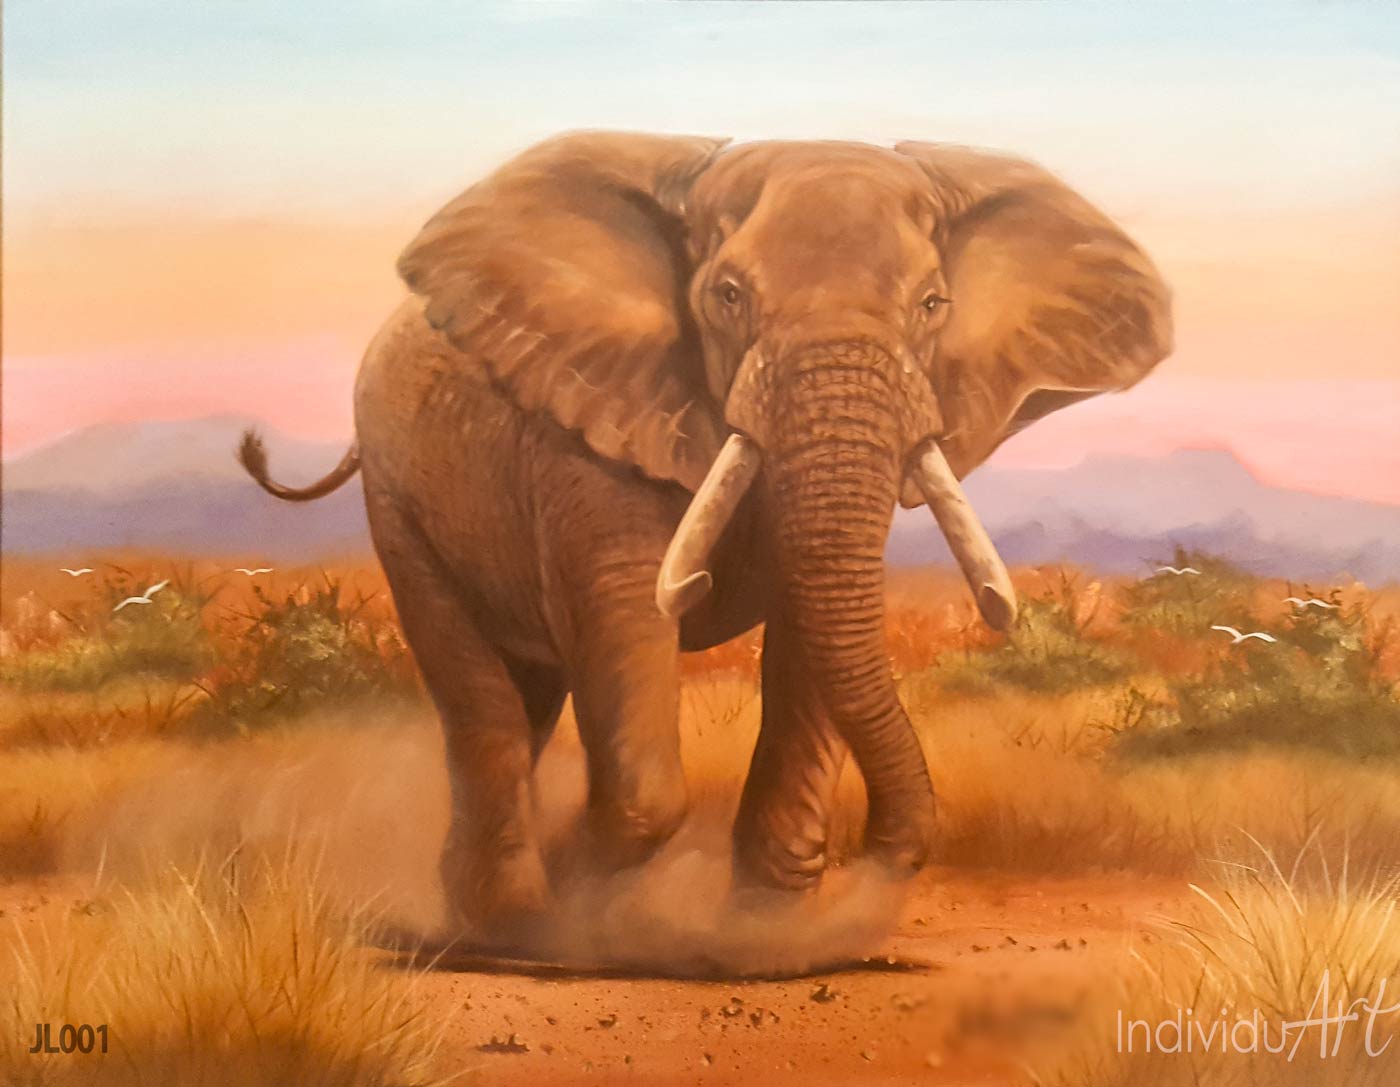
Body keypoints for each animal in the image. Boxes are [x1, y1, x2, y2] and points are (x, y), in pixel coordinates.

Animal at [240, 131, 1171, 949]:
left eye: (933, 304)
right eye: (728, 296)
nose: (878, 857)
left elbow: (808, 643)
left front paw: (768, 937)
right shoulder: (586, 424)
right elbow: (631, 634)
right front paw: (592, 893)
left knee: (527, 696)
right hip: (399, 498)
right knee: (481, 700)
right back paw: (511, 923)